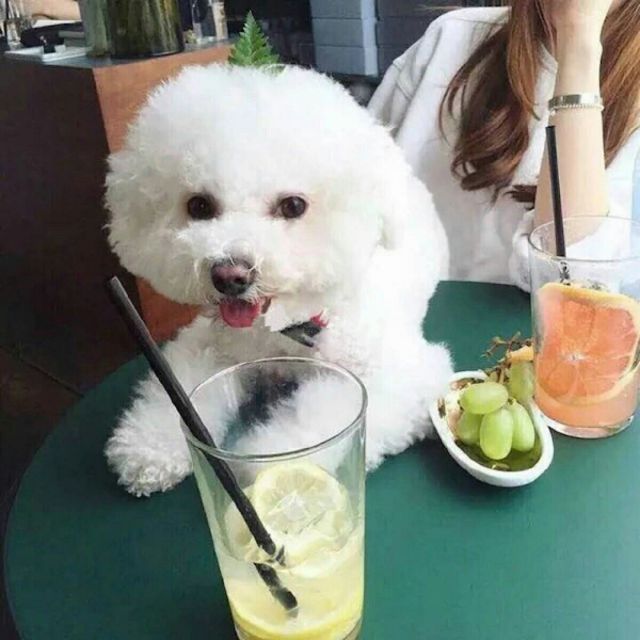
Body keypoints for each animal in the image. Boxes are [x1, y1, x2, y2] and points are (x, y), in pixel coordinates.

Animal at [104, 64, 453, 497]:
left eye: (293, 206)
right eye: (199, 205)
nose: (230, 274)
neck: (285, 326)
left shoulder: (403, 371)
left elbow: (326, 413)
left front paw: (274, 464)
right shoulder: (211, 344)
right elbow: (182, 384)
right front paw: (150, 446)